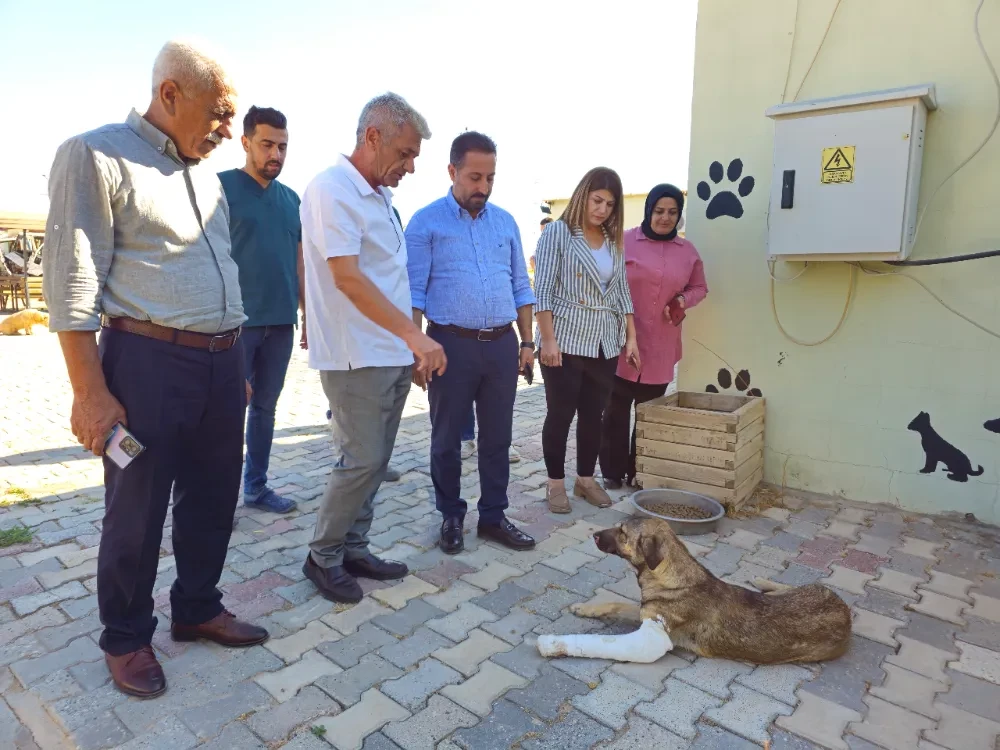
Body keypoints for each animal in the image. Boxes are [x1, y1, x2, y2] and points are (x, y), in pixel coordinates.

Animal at [560, 520, 848, 668]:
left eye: (622, 533)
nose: (594, 535)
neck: (672, 577)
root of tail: (844, 610)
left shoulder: (655, 622)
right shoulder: (645, 612)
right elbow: (615, 603)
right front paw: (586, 608)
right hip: (804, 589)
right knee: (780, 588)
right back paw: (760, 580)